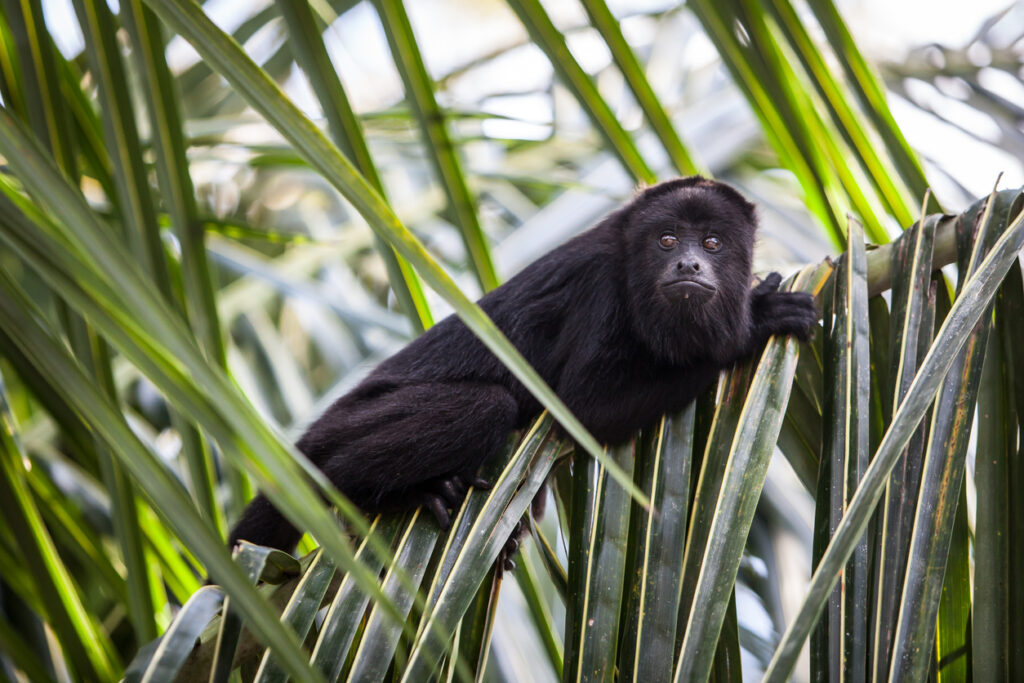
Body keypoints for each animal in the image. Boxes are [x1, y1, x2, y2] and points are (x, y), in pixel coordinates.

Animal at [228, 177, 818, 557]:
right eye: (667, 239)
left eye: (713, 242)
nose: (688, 263)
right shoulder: (601, 287)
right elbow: (585, 409)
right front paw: (753, 325)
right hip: (344, 429)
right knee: (485, 404)